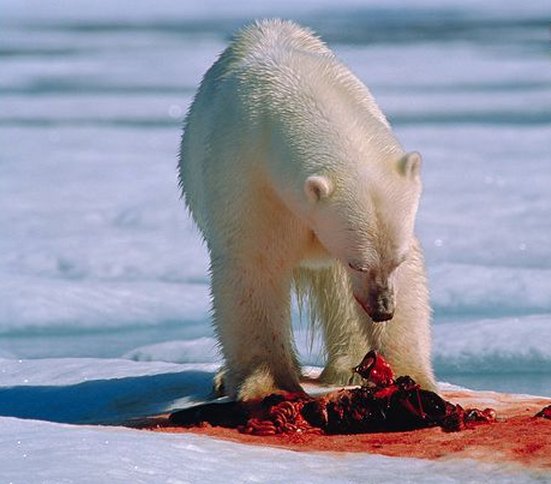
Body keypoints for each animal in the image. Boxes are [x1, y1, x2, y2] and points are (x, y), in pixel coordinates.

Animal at [179, 18, 438, 398]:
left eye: (398, 259)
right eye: (357, 263)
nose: (382, 310)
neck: (295, 89)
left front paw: (413, 377)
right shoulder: (250, 177)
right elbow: (254, 265)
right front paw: (267, 385)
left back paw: (347, 367)